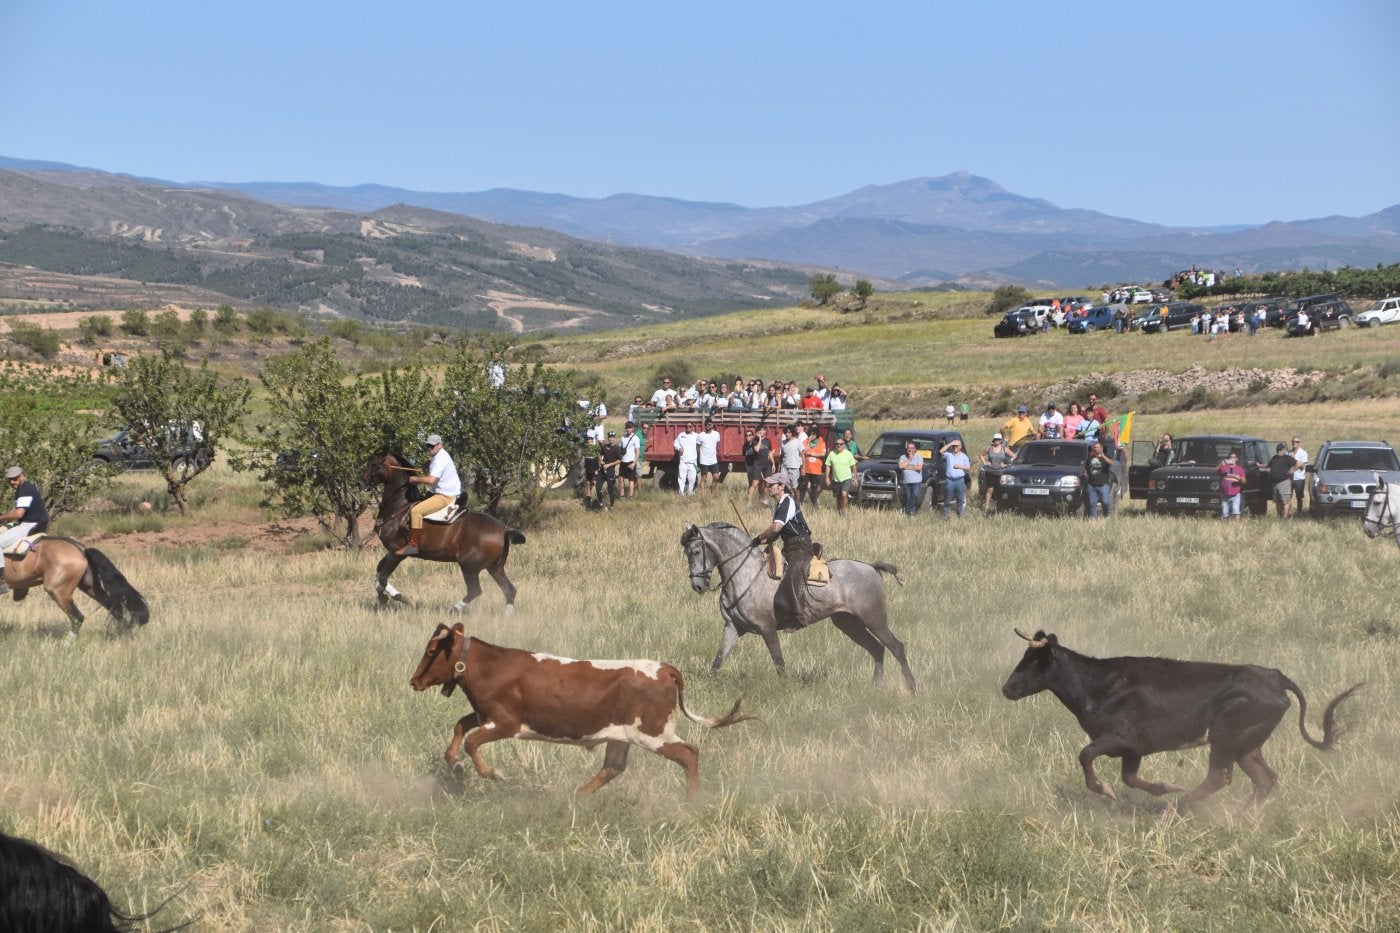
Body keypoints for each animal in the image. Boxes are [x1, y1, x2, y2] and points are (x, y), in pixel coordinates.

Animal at [0, 535, 149, 636]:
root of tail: (81, 550)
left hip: (58, 591)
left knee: (77, 617)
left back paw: (66, 646)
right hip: (90, 587)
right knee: (114, 607)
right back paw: (126, 635)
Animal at [361, 448, 529, 610]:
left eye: (374, 464)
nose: (361, 481)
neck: (399, 506)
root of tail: (503, 530)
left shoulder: (397, 553)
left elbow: (382, 579)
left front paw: (396, 599)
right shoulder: (392, 552)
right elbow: (379, 572)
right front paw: (399, 598)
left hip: (469, 567)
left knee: (475, 590)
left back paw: (454, 609)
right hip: (495, 567)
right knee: (509, 590)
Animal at [408, 622, 756, 795]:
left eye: (431, 650)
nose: (414, 681)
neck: (491, 666)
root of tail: (664, 668)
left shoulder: (507, 723)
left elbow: (471, 741)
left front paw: (493, 773)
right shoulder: (484, 715)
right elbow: (460, 727)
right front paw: (455, 765)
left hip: (653, 733)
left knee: (689, 754)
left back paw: (691, 804)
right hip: (622, 737)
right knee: (613, 768)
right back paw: (576, 798)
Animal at [680, 523, 918, 689]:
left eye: (695, 551)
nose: (698, 585)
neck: (745, 574)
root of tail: (871, 567)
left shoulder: (767, 629)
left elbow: (779, 662)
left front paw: (785, 688)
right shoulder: (732, 627)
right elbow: (719, 660)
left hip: (874, 620)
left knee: (896, 647)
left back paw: (912, 687)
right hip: (849, 623)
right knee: (877, 648)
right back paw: (876, 687)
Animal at [1002, 633, 1360, 806]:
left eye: (1032, 662)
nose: (1007, 688)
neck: (1098, 684)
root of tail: (1274, 676)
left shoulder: (1119, 738)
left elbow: (1086, 755)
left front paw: (1104, 790)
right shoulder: (1134, 750)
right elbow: (1131, 778)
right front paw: (1164, 787)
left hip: (1227, 737)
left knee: (1219, 777)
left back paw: (1181, 807)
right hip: (1248, 744)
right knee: (1264, 779)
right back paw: (1242, 815)